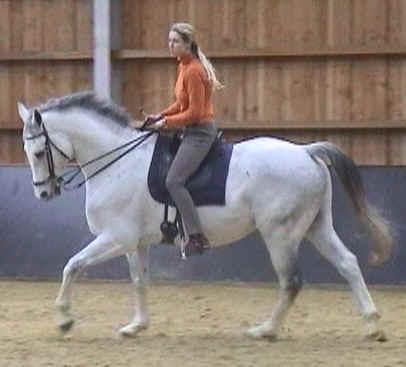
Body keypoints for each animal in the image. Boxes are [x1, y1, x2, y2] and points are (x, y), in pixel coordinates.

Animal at [17, 92, 392, 342]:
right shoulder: (134, 243)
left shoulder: (115, 238)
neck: (116, 162)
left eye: (37, 152)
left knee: (292, 281)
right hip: (316, 227)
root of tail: (306, 151)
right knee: (347, 264)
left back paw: (265, 330)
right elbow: (139, 281)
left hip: (280, 234)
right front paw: (136, 326)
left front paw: (64, 320)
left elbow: (72, 265)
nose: (43, 194)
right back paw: (372, 324)